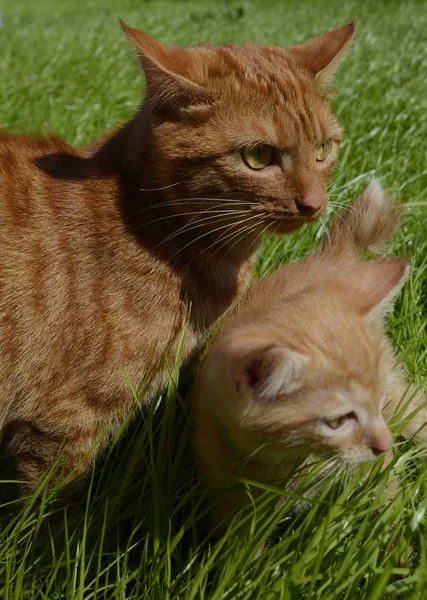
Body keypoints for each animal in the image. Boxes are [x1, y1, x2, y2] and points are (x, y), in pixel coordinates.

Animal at [196, 180, 427, 532]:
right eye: (337, 421)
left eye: (377, 401)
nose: (385, 443)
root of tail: (328, 259)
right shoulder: (227, 489)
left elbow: (384, 495)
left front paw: (394, 533)